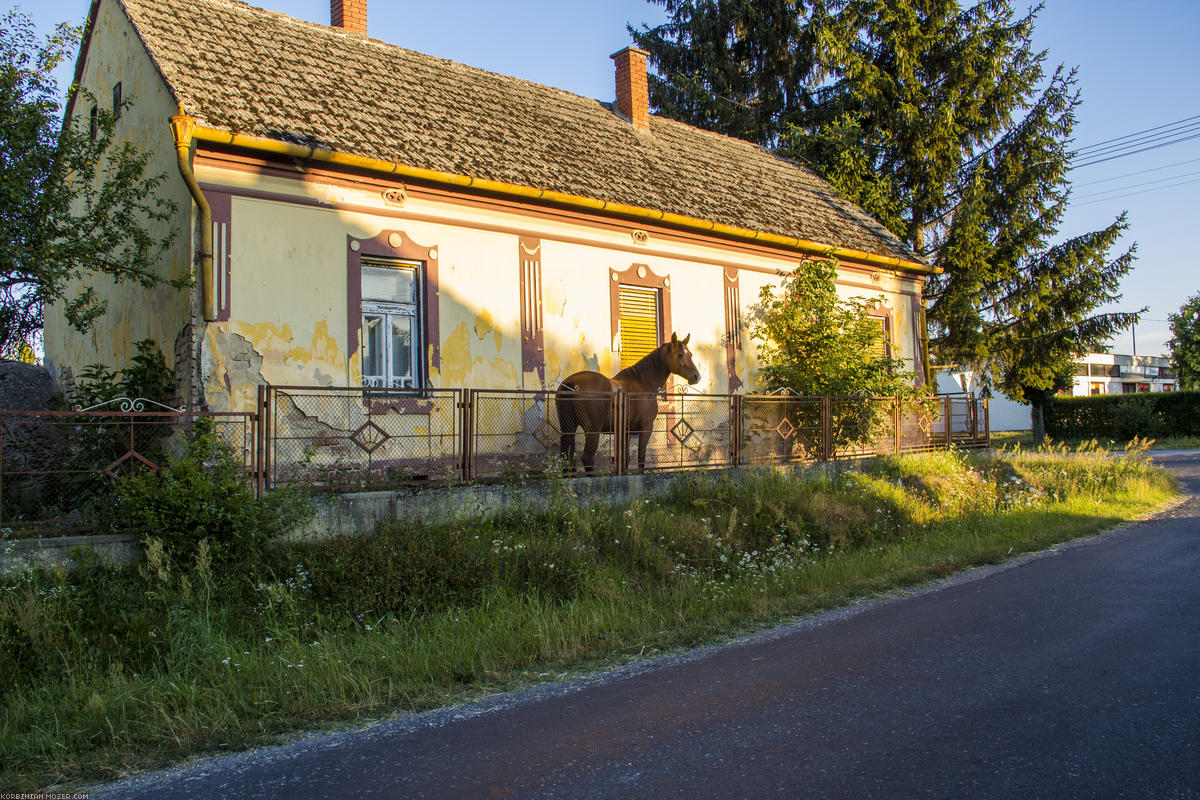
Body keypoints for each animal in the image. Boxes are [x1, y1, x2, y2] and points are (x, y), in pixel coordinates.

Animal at [554, 333, 700, 472]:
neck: (642, 382)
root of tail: (571, 383)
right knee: (587, 458)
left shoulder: (626, 432)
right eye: (680, 355)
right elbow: (641, 457)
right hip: (593, 430)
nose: (696, 376)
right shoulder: (646, 427)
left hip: (568, 427)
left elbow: (625, 459)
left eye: (691, 354)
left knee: (567, 457)